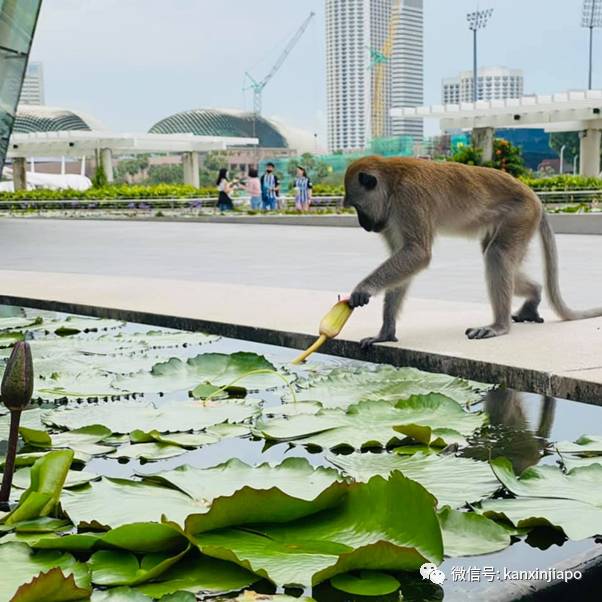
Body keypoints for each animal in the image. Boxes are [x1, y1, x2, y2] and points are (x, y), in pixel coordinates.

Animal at [340, 155, 600, 346]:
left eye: (357, 206)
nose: (364, 224)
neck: (392, 182)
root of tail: (533, 195)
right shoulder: (390, 216)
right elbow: (406, 258)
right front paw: (385, 333)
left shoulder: (408, 199)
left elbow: (417, 253)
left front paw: (363, 289)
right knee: (496, 254)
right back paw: (534, 294)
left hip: (521, 214)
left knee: (497, 254)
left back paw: (499, 326)